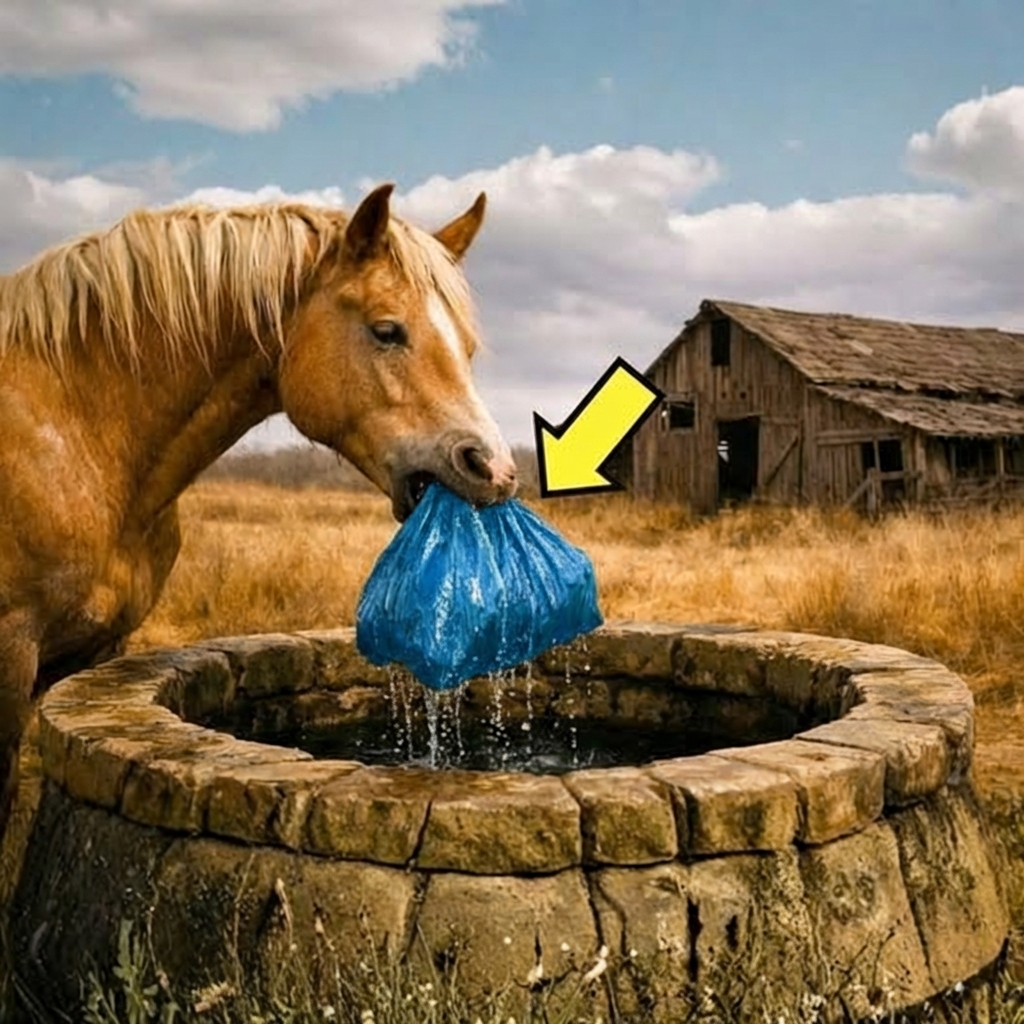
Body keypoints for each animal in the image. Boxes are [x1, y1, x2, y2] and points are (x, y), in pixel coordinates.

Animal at [0, 183, 517, 837]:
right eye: (386, 331)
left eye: (467, 348)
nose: (493, 469)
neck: (75, 429)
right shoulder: (11, 653)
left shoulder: (100, 649)